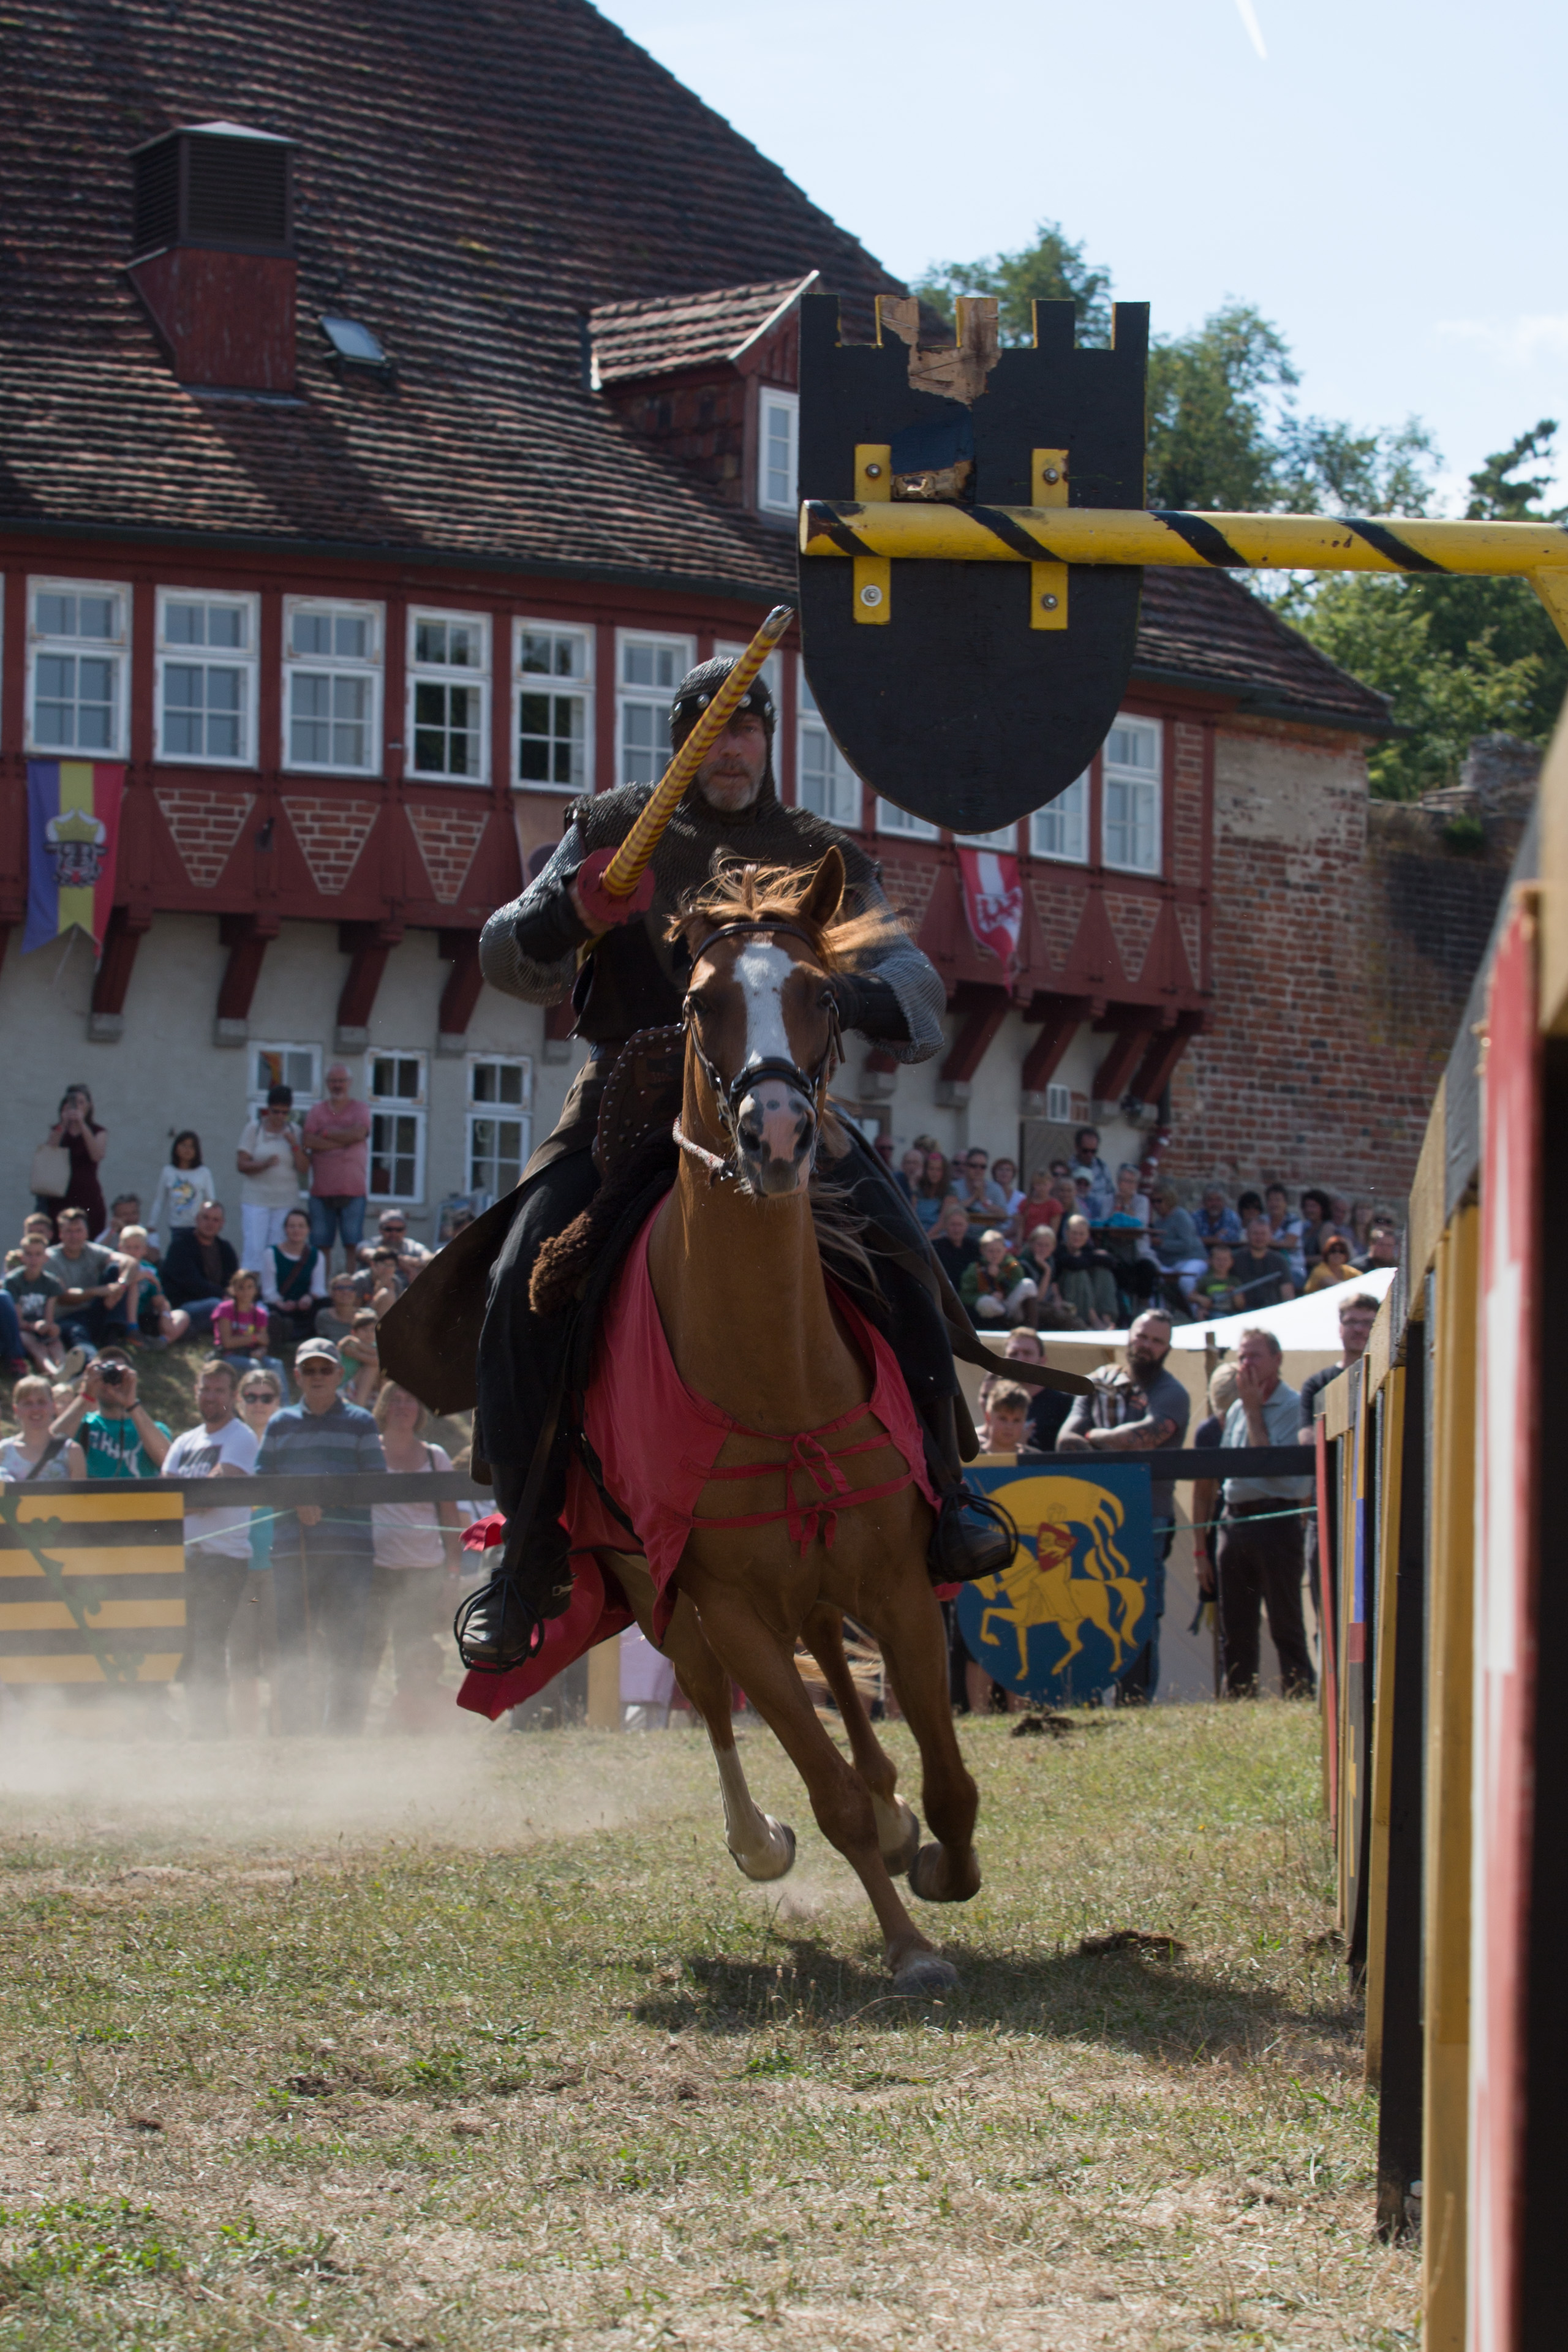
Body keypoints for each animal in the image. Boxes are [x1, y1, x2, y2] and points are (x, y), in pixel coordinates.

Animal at [533, 848, 980, 1994]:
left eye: (822, 994)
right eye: (702, 1003)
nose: (775, 1135)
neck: (776, 1372)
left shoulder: (902, 1583)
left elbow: (948, 1774)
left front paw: (942, 1862)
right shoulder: (723, 1603)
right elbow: (823, 1791)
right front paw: (909, 1946)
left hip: (822, 1576)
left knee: (828, 1648)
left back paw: (899, 1814)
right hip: (651, 1586)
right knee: (712, 1692)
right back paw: (761, 1840)